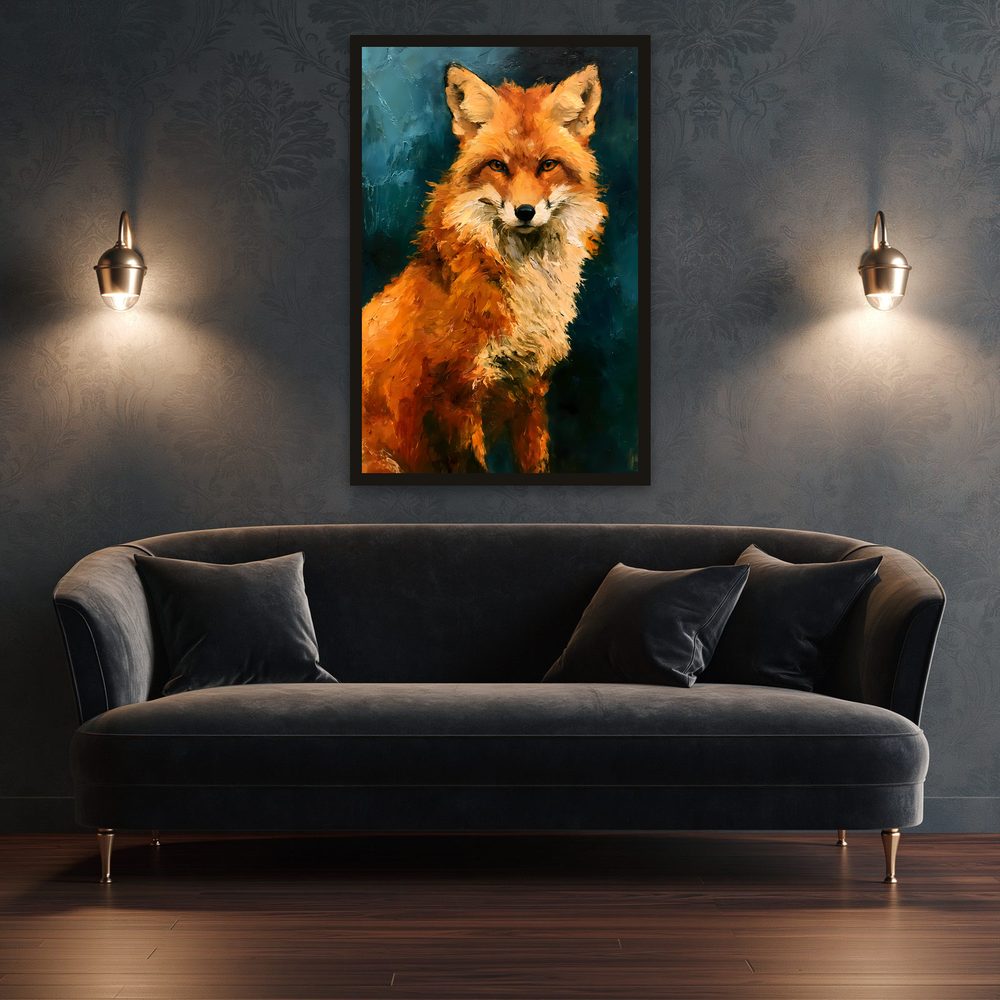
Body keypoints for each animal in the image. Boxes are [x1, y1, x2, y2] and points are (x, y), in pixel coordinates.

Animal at [361, 61, 607, 474]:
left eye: (547, 165)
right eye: (497, 166)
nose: (525, 211)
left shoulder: (530, 389)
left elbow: (535, 463)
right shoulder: (455, 398)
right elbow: (472, 466)